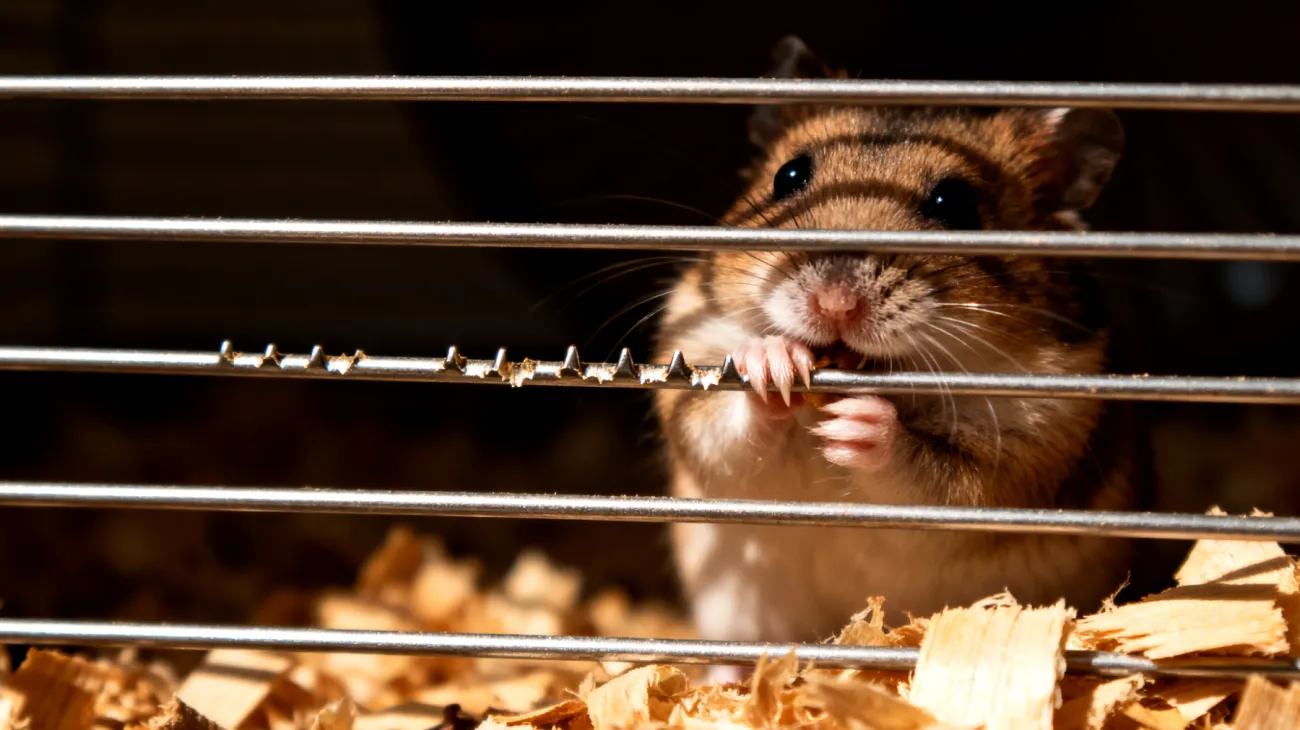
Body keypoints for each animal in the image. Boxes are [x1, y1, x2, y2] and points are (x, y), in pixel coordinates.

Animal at [653, 37, 1136, 661]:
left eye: (955, 203)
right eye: (788, 176)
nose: (835, 301)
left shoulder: (1026, 453)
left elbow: (933, 479)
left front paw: (860, 423)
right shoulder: (694, 357)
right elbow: (722, 433)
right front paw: (773, 364)